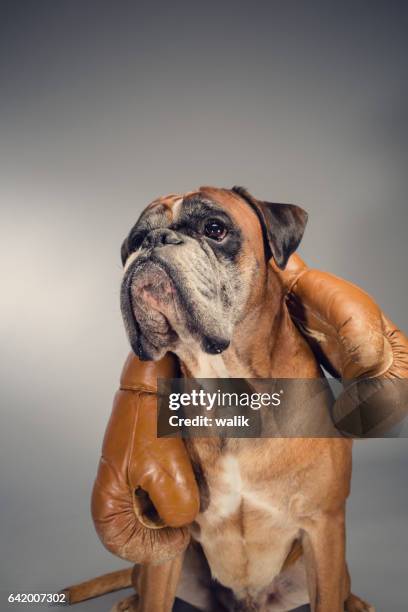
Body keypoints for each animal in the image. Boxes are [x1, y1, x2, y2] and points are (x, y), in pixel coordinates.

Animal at [118, 186, 372, 612]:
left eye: (214, 228)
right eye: (135, 241)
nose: (154, 241)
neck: (230, 391)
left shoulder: (324, 527)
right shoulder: (166, 550)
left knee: (341, 589)